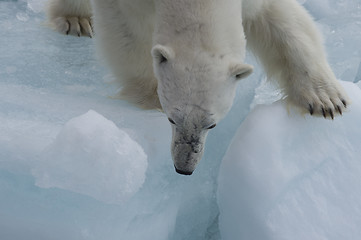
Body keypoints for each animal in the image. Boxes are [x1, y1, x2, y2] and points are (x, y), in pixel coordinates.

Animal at [45, 0, 348, 174]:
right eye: (171, 118)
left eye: (211, 124)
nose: (184, 168)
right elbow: (128, 31)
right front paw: (149, 95)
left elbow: (284, 23)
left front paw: (326, 100)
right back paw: (75, 19)